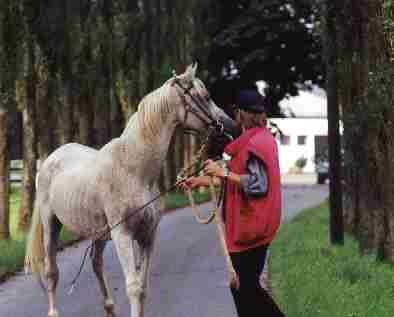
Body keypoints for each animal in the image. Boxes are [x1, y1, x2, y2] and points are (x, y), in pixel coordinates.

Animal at [26, 64, 235, 316]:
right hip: (51, 224)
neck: (134, 169)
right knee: (51, 271)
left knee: (96, 263)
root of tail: (50, 158)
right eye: (205, 96)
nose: (230, 126)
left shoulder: (148, 235)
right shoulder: (122, 234)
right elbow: (134, 287)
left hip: (98, 231)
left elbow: (142, 288)